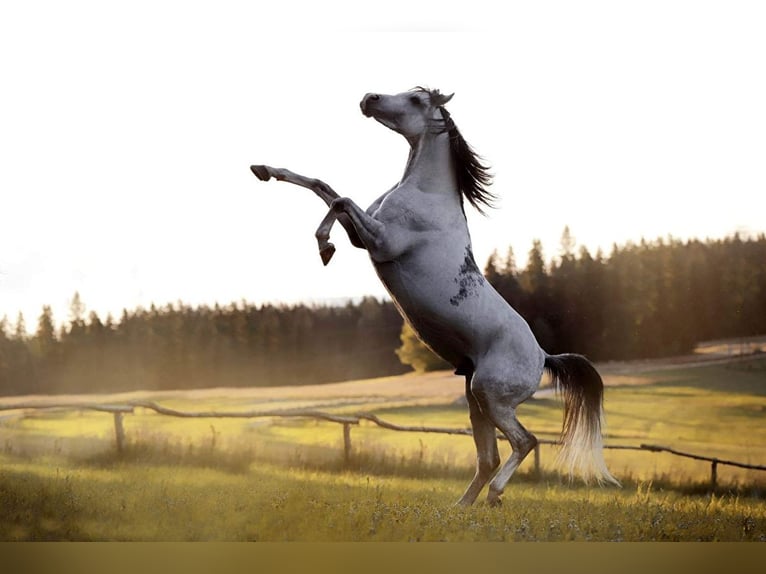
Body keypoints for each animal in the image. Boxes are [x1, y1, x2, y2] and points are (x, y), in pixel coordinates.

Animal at [249, 88, 620, 506]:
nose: (368, 98)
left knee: (525, 442)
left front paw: (324, 246)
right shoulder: (362, 236)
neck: (426, 193)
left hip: (490, 395)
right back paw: (462, 507)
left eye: (415, 99)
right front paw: (264, 169)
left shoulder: (381, 241)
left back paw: (494, 496)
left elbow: (340, 199)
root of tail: (544, 356)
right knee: (489, 457)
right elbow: (323, 186)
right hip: (476, 400)